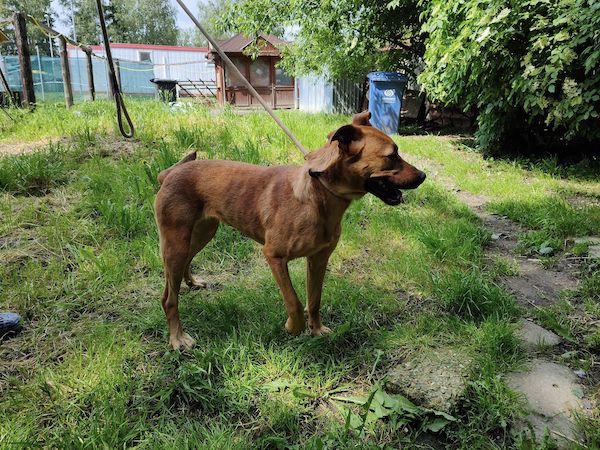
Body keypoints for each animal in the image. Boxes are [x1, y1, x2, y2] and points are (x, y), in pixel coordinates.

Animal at [155, 111, 426, 349]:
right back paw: (177, 338)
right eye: (392, 155)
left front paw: (316, 330)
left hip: (200, 234)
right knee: (168, 298)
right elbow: (294, 302)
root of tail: (169, 172)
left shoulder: (318, 259)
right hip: (176, 244)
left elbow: (314, 300)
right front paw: (293, 327)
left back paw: (191, 282)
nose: (423, 176)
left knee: (183, 268)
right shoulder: (274, 257)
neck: (319, 195)